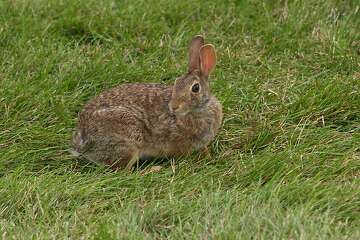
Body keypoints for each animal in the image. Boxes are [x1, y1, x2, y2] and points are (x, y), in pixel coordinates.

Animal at [71, 36, 222, 171]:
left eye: (195, 88)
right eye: (176, 83)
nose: (173, 106)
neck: (201, 108)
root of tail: (82, 139)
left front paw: (208, 155)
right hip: (128, 140)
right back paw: (153, 169)